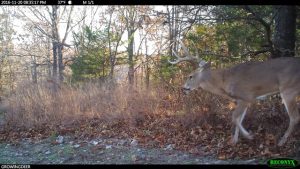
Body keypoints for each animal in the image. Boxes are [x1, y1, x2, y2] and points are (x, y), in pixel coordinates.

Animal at [170, 39, 298, 146]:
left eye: (190, 76)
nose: (183, 88)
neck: (224, 81)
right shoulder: (241, 99)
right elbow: (239, 118)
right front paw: (234, 141)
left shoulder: (246, 96)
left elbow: (234, 117)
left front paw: (248, 136)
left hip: (289, 89)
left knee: (294, 117)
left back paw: (281, 141)